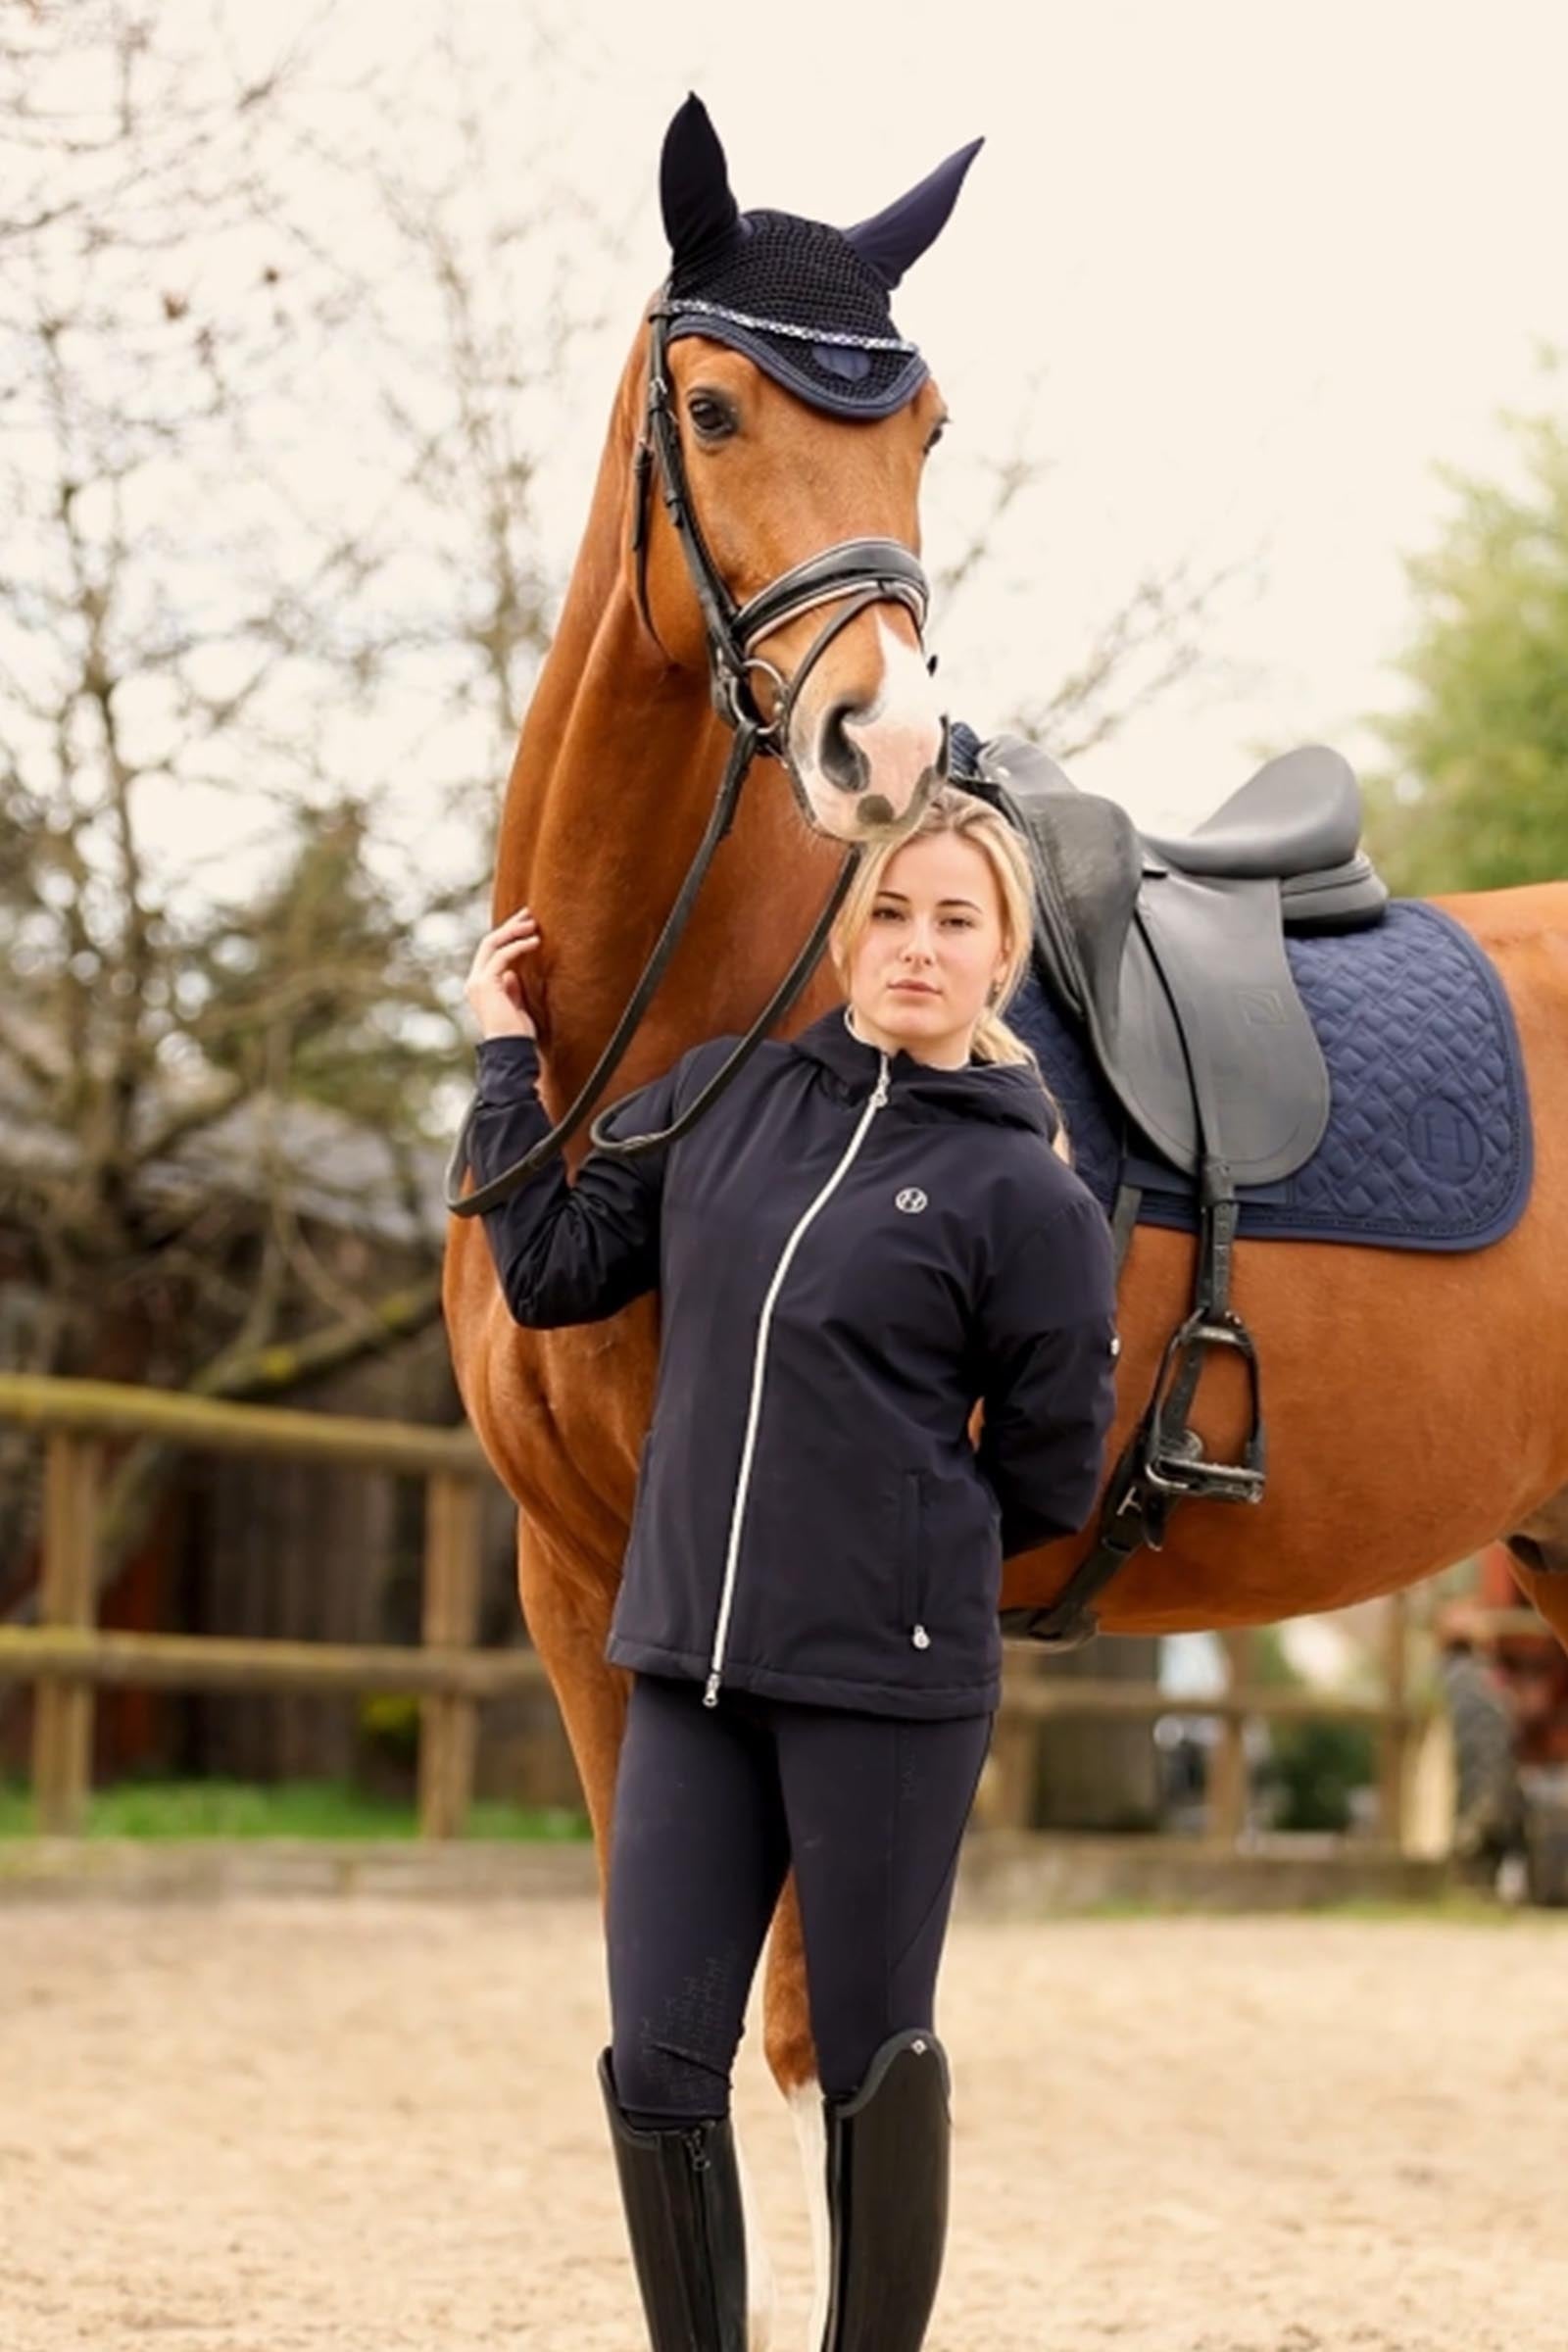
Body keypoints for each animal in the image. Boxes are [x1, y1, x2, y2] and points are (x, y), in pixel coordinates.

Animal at [442, 99, 1568, 2351]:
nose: (870, 746)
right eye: (715, 405)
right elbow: (681, 2052)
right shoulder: (586, 1597)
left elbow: (840, 2060)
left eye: (926, 426)